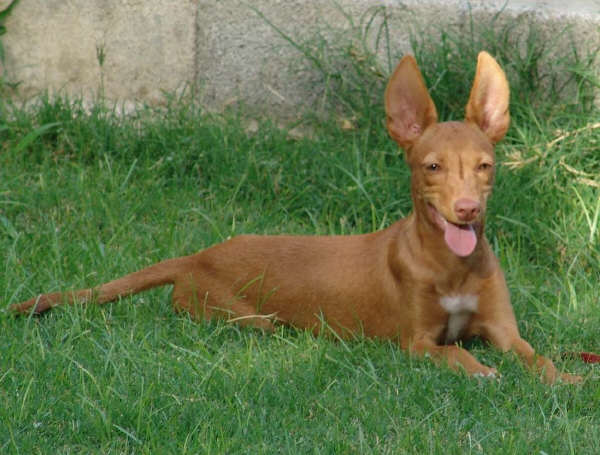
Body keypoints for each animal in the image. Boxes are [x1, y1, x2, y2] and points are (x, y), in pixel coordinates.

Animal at [9, 50, 580, 384]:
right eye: (432, 166)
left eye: (485, 166)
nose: (467, 210)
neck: (451, 266)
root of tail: (197, 255)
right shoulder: (414, 343)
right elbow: (454, 355)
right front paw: (482, 370)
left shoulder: (505, 332)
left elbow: (540, 358)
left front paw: (568, 381)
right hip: (251, 321)